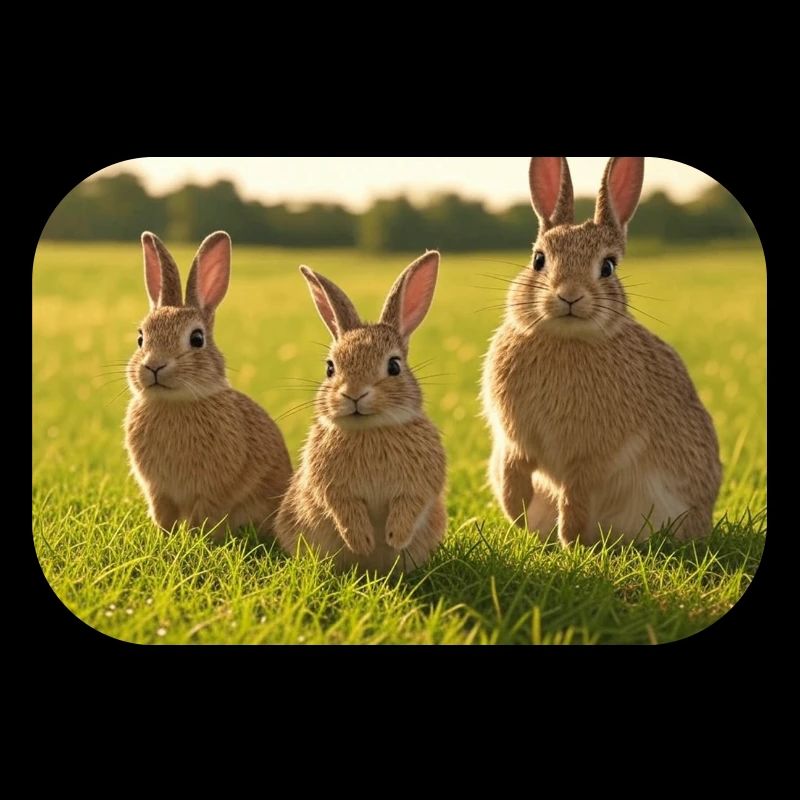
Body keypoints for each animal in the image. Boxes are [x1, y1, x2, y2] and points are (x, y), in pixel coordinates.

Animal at [124, 231, 293, 541]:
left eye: (197, 339)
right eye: (141, 338)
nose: (154, 366)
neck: (174, 402)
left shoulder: (212, 491)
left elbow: (201, 516)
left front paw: (192, 540)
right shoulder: (158, 491)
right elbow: (163, 516)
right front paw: (164, 538)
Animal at [274, 251, 447, 574]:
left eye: (394, 366)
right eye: (330, 368)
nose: (353, 394)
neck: (371, 428)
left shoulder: (419, 484)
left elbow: (410, 504)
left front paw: (394, 537)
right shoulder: (332, 488)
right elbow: (344, 509)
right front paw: (363, 542)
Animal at [481, 157, 722, 546]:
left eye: (607, 266)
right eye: (538, 260)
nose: (569, 295)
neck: (565, 339)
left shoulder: (591, 458)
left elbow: (575, 495)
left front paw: (570, 541)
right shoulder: (515, 441)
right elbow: (513, 471)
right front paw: (516, 512)